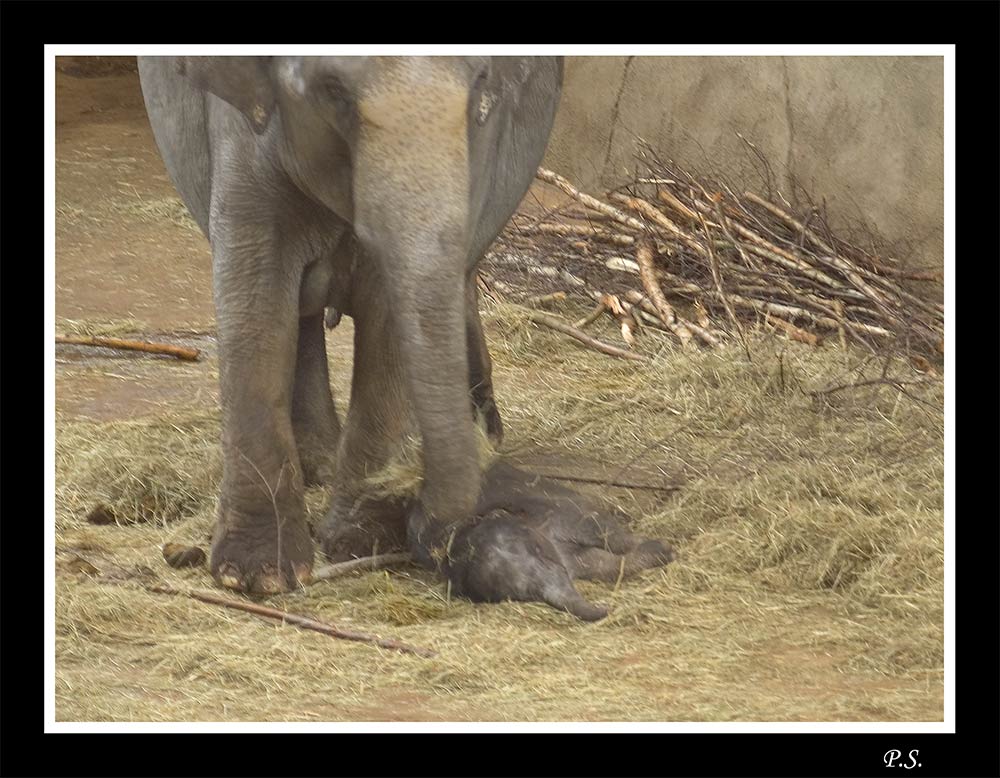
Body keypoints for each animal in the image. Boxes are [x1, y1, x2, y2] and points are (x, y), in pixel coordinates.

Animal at [137, 56, 676, 620]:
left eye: (482, 81)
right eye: (333, 91)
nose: (436, 516)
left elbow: (387, 309)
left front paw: (359, 543)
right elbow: (255, 294)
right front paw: (254, 576)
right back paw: (320, 468)